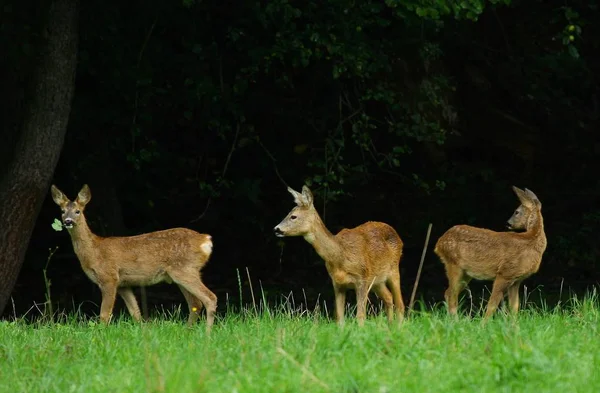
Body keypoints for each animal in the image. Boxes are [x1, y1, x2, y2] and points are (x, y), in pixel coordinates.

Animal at [49, 185, 218, 330]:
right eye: (62, 211)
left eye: (78, 211)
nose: (68, 221)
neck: (94, 251)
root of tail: (205, 240)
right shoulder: (124, 285)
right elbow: (136, 314)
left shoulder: (109, 277)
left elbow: (104, 315)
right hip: (180, 274)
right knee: (195, 303)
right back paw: (188, 331)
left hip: (185, 270)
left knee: (210, 298)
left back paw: (207, 335)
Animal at [274, 185, 406, 326]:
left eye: (293, 216)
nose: (276, 229)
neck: (340, 255)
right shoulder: (337, 283)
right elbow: (339, 318)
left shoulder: (362, 279)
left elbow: (360, 316)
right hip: (377, 280)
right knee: (388, 297)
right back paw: (390, 325)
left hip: (394, 270)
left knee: (400, 303)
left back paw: (398, 327)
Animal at [434, 185, 548, 318]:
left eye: (516, 212)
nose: (508, 223)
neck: (531, 240)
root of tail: (439, 242)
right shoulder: (504, 272)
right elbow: (492, 305)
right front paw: (484, 323)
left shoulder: (516, 280)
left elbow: (514, 307)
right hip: (453, 263)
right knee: (452, 295)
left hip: (465, 273)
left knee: (449, 293)